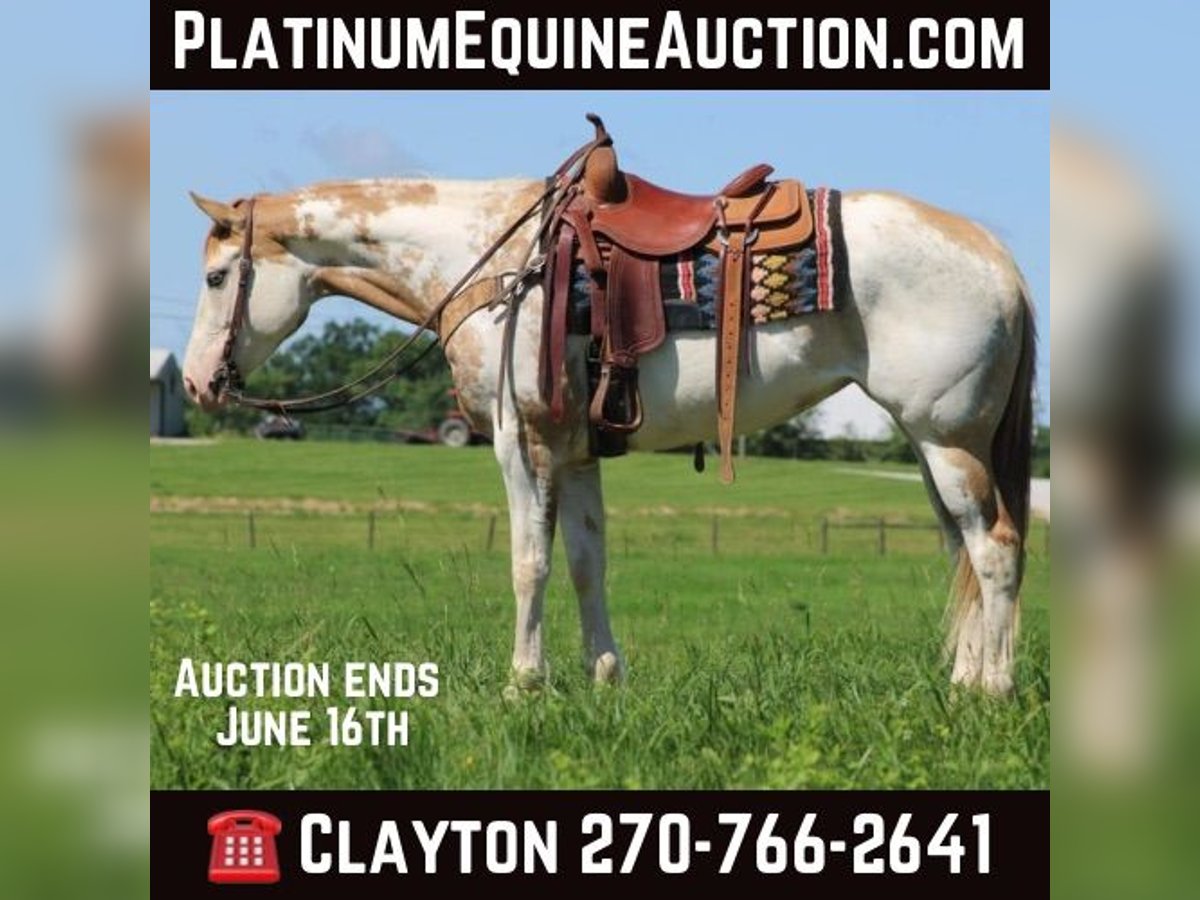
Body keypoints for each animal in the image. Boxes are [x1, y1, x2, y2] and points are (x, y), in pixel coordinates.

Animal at [181, 146, 1035, 697]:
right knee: (962, 550)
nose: (195, 382)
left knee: (994, 549)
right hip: (933, 448)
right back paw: (963, 681)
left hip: (948, 441)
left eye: (218, 276)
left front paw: (524, 683)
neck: (498, 263)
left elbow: (529, 561)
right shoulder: (577, 450)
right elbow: (587, 564)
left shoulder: (519, 441)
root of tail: (997, 260)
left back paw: (991, 691)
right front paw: (604, 678)